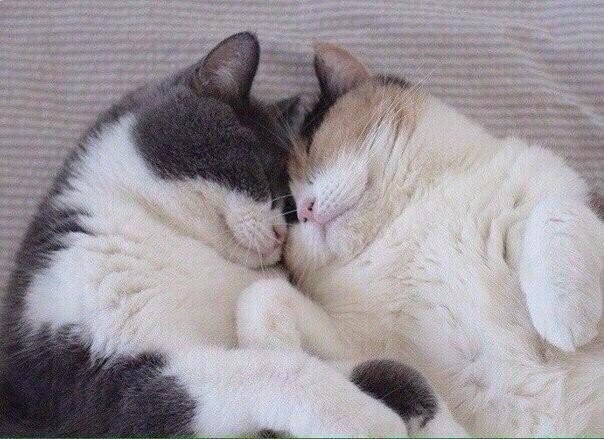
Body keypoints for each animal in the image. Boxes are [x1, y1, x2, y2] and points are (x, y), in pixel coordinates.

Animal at [0, 33, 432, 437]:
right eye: (264, 177)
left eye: (292, 206)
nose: (281, 235)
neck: (177, 241)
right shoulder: (92, 383)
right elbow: (269, 367)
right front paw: (371, 417)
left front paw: (402, 390)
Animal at [236, 43, 603, 437]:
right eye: (287, 210)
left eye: (310, 152)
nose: (305, 211)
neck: (409, 218)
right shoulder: (359, 339)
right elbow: (263, 295)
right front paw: (279, 353)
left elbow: (555, 208)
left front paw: (565, 316)